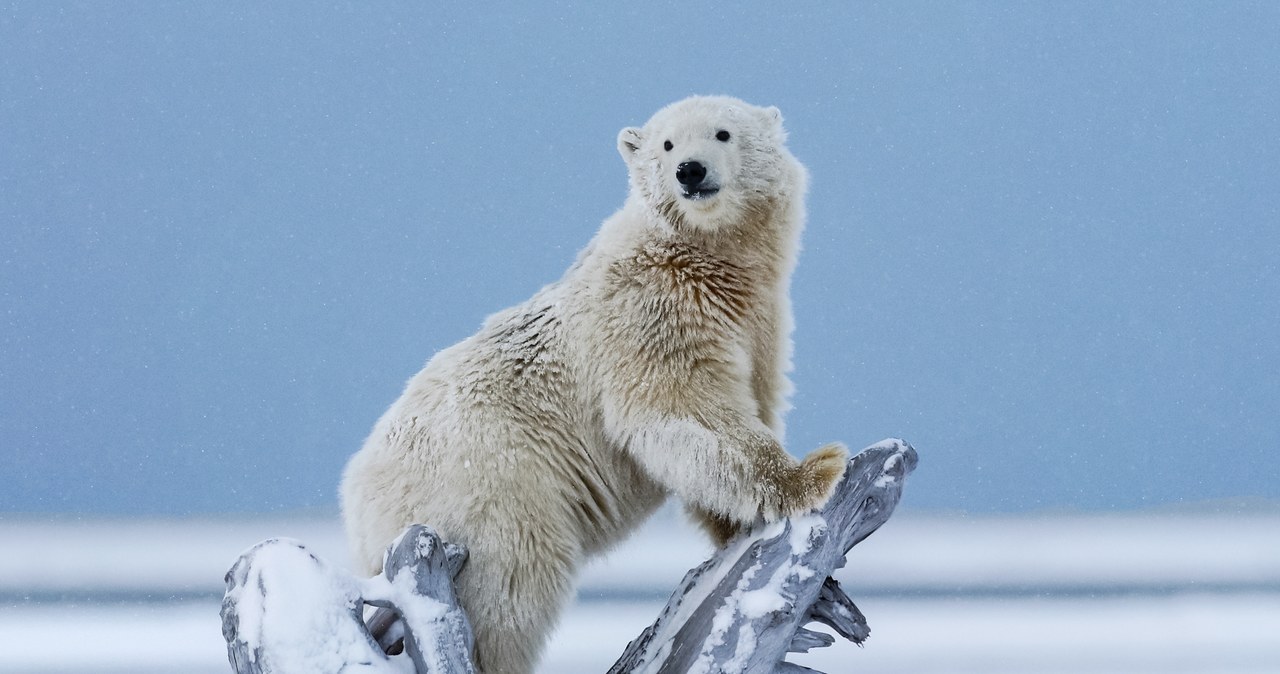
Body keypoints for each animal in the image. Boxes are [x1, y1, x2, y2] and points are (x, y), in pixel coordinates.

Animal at [343, 96, 849, 674]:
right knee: (510, 592)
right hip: (489, 493)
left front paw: (736, 531)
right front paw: (815, 471)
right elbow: (685, 407)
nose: (689, 171)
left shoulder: (758, 323)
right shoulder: (653, 311)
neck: (706, 256)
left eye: (723, 133)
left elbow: (747, 404)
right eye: (666, 144)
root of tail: (356, 498)